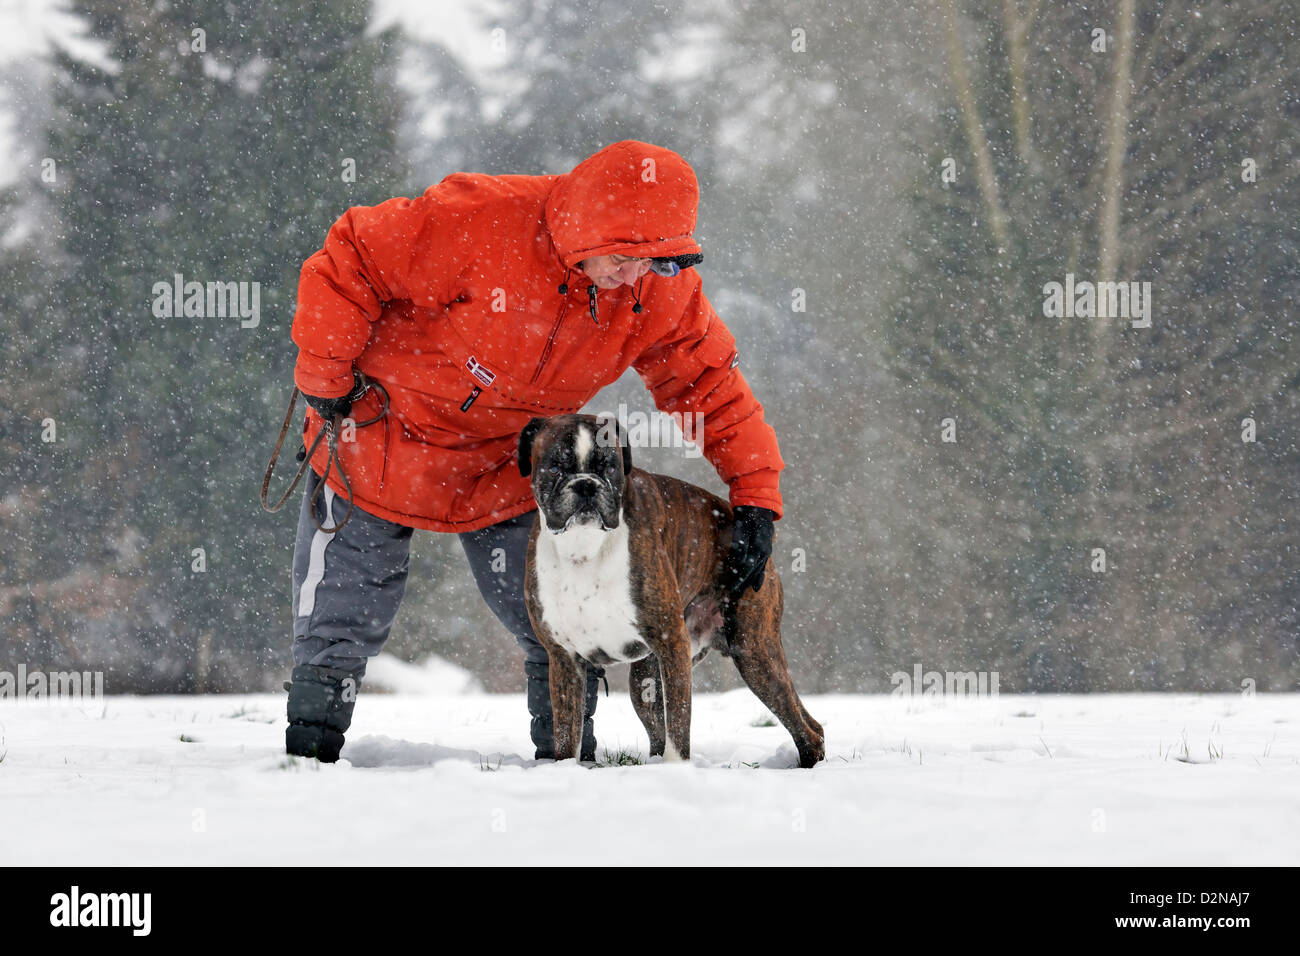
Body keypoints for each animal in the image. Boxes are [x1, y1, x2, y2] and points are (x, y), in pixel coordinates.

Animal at [514, 413, 821, 770]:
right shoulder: (565, 658)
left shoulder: (672, 643)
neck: (584, 547)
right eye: (554, 468)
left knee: (808, 728)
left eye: (610, 468)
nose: (586, 484)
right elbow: (566, 733)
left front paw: (676, 770)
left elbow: (678, 722)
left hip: (754, 652)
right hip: (646, 680)